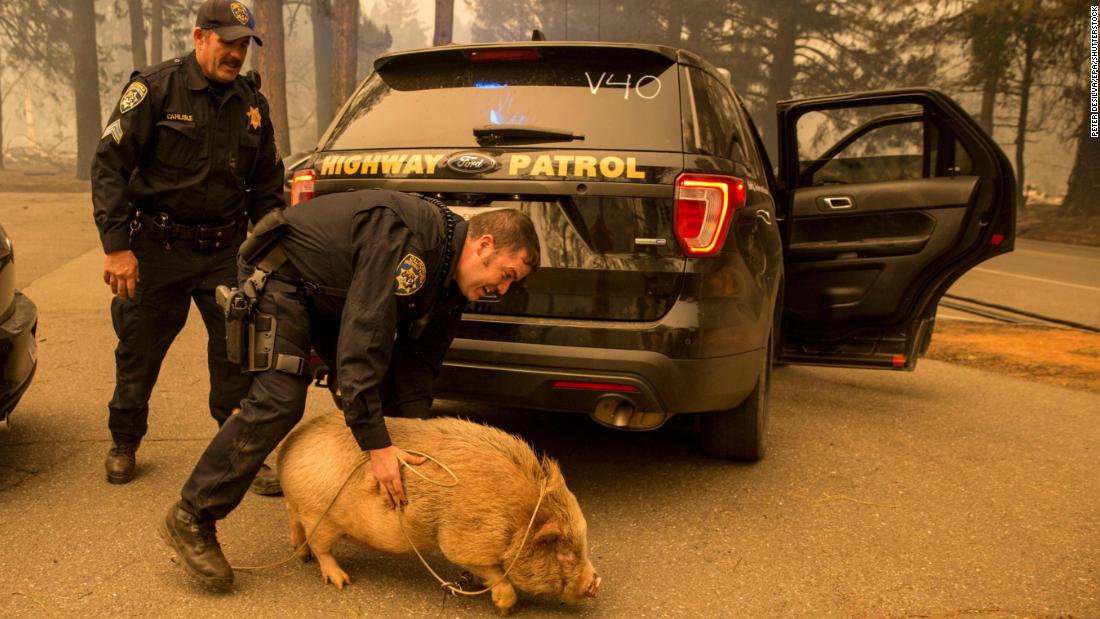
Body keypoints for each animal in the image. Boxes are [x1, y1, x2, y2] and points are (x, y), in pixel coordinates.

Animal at [275, 411, 602, 615]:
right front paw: (506, 609)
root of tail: (289, 447)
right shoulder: (462, 541)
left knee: (293, 520)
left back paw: (301, 555)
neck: (517, 518)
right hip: (321, 515)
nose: (596, 583)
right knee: (321, 548)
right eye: (564, 553)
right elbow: (494, 574)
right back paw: (342, 581)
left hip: (305, 510)